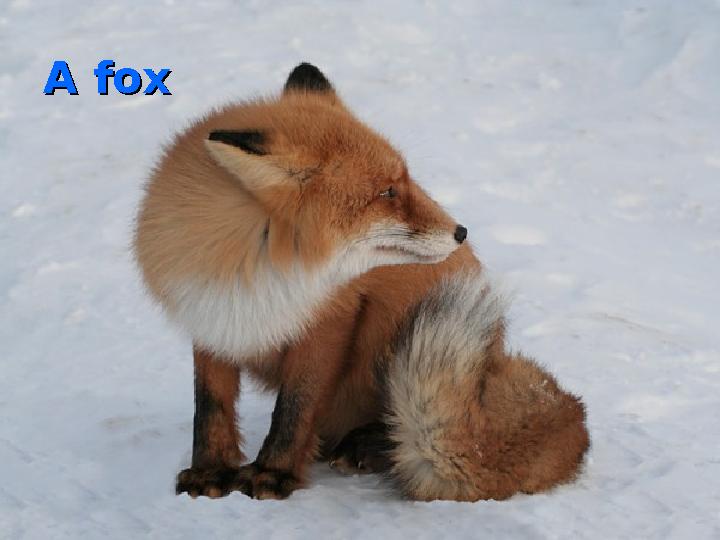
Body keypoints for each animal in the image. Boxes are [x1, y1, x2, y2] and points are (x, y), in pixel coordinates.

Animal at [134, 62, 589, 502]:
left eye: (405, 181)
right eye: (387, 192)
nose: (461, 232)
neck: (255, 274)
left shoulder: (332, 319)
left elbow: (295, 407)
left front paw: (272, 473)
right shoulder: (210, 317)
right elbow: (211, 407)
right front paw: (210, 471)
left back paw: (367, 445)